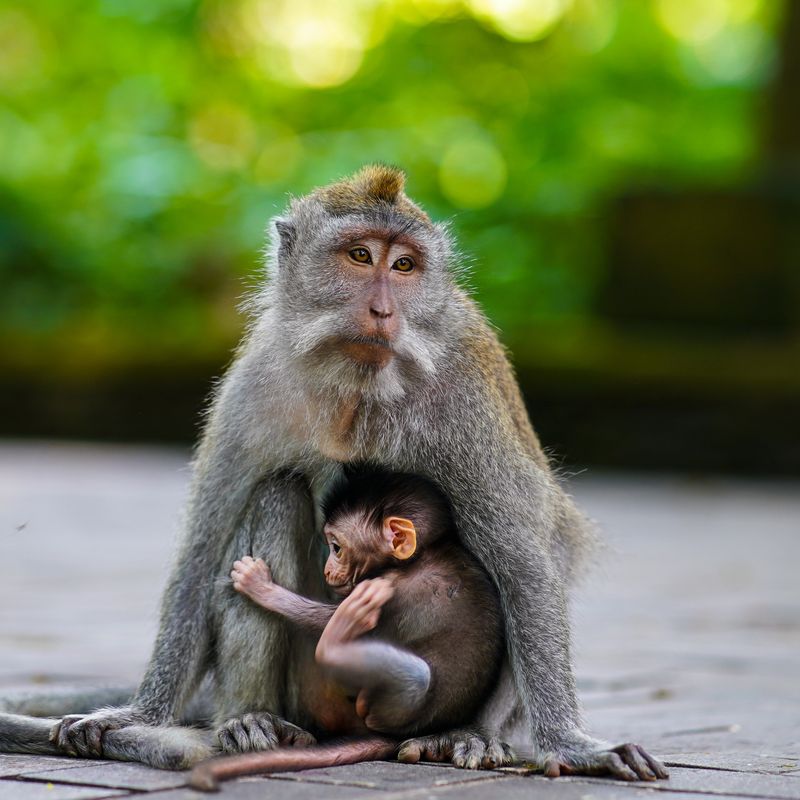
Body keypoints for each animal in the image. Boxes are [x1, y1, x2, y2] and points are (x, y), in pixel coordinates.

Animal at [186, 467, 506, 790]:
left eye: (337, 548)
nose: (328, 569)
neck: (424, 554)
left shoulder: (392, 589)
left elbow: (324, 619)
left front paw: (260, 586)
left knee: (415, 676)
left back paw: (335, 643)